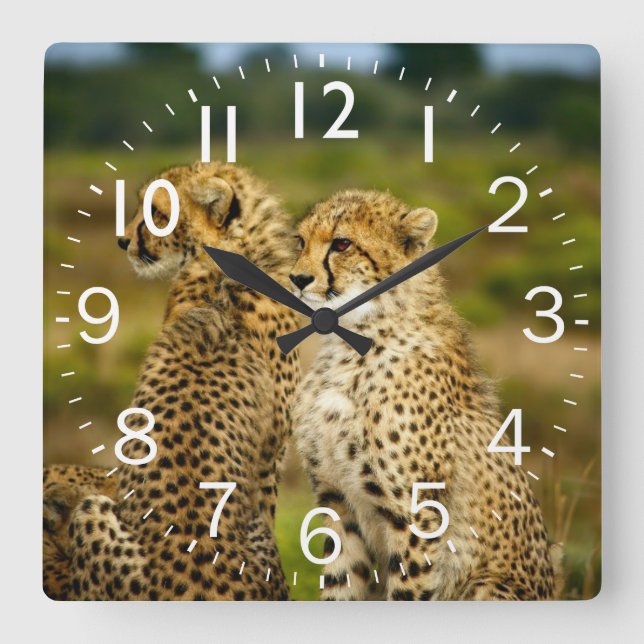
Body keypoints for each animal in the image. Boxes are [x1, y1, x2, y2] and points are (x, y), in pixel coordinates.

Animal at [289, 189, 563, 601]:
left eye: (342, 244)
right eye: (300, 241)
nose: (298, 278)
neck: (351, 342)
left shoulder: (417, 515)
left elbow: (407, 589)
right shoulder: (337, 503)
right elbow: (340, 585)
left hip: (488, 587)